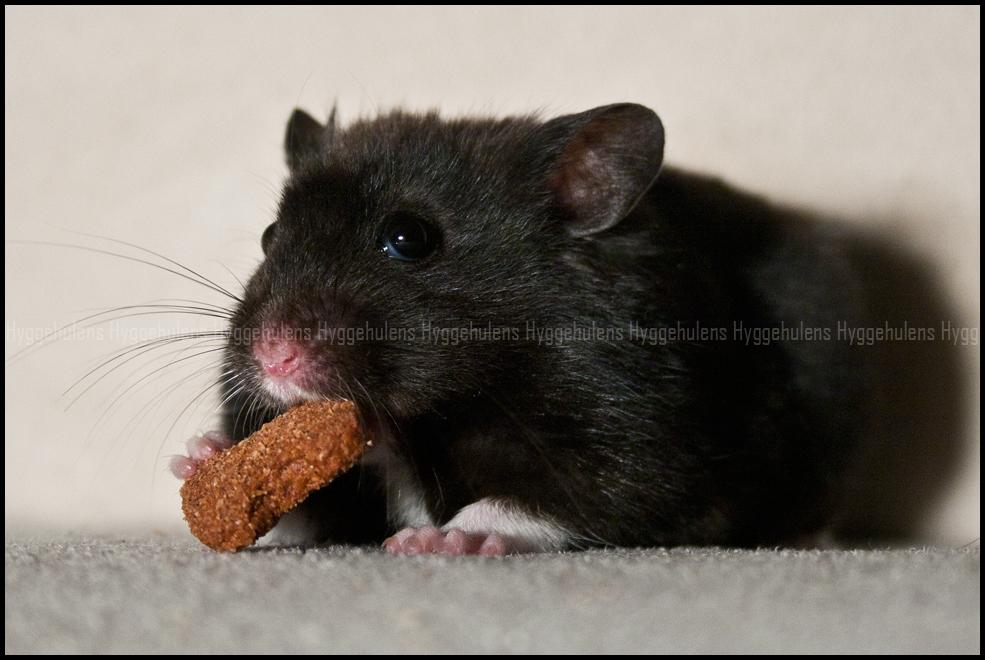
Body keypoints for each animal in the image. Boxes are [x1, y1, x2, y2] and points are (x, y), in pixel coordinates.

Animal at [171, 103, 871, 554]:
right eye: (270, 237)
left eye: (407, 238)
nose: (273, 359)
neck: (424, 418)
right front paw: (200, 457)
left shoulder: (638, 443)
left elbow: (547, 497)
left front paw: (438, 540)